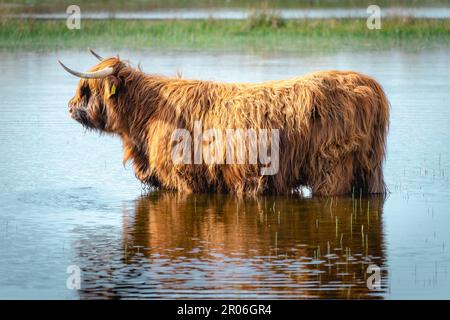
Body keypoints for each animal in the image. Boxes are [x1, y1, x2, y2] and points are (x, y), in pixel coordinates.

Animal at [59, 50, 390, 195]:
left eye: (85, 90)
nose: (70, 108)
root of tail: (369, 84)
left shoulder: (183, 178)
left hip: (333, 167)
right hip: (369, 169)